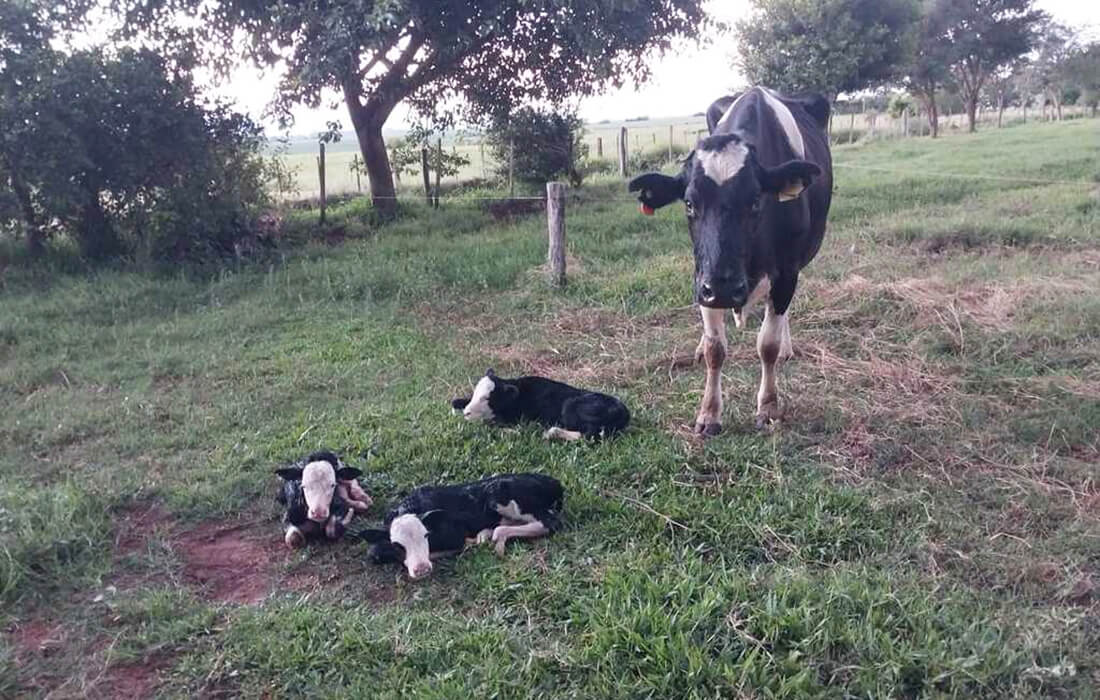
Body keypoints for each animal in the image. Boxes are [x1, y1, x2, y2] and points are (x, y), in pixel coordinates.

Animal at [358, 473, 564, 579]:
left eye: (426, 536)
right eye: (398, 545)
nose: (422, 569)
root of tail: (554, 481)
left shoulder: (455, 534)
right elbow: (374, 551)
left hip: (503, 495)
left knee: (550, 523)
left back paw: (494, 538)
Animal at [451, 369, 630, 441]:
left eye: (488, 399)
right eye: (475, 393)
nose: (467, 413)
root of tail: (623, 410)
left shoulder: (519, 419)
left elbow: (491, 424)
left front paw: (509, 432)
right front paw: (458, 403)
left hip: (571, 406)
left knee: (590, 435)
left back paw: (551, 433)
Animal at [628, 87, 832, 435]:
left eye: (755, 201)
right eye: (689, 203)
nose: (725, 289)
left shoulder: (787, 272)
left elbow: (768, 344)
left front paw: (768, 406)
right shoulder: (703, 277)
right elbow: (716, 349)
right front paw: (709, 413)